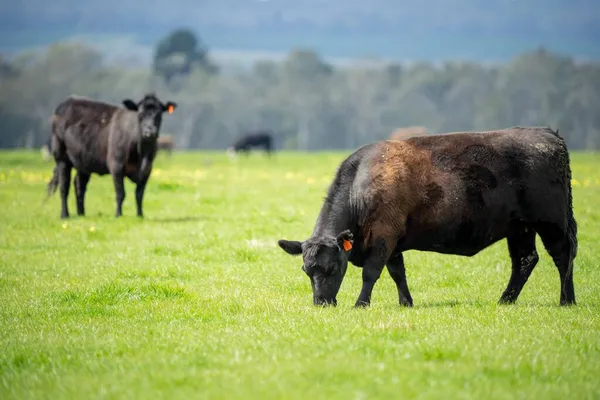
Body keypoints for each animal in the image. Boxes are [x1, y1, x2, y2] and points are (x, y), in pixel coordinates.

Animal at [45, 93, 177, 219]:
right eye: (140, 114)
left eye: (159, 115)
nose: (149, 132)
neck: (141, 154)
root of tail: (67, 102)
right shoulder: (116, 165)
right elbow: (120, 193)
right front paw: (118, 215)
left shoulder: (147, 169)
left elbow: (139, 194)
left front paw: (140, 215)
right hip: (61, 158)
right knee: (64, 187)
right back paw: (64, 215)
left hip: (83, 162)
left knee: (79, 185)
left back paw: (81, 214)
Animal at [278, 126, 580, 308]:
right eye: (306, 270)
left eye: (331, 268)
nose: (322, 302)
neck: (362, 185)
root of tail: (548, 134)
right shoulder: (393, 241)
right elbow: (397, 273)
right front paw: (406, 302)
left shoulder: (384, 236)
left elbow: (371, 272)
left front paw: (361, 303)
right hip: (520, 228)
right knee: (525, 261)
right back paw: (505, 300)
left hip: (551, 222)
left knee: (563, 254)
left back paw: (567, 300)